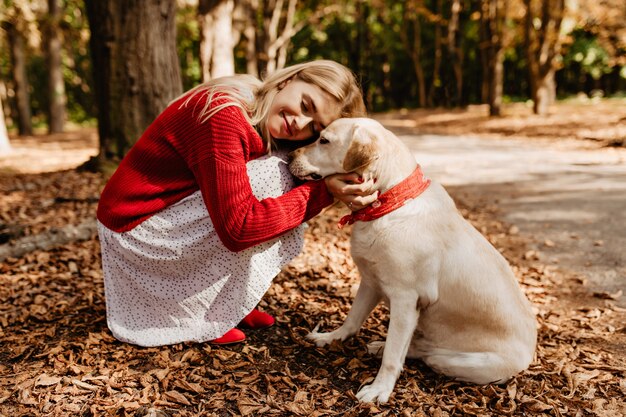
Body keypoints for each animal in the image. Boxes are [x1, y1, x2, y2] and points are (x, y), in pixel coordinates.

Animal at [288, 118, 536, 404]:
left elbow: (393, 356)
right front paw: (332, 338)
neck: (389, 201)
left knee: (426, 354)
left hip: (459, 360)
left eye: (324, 141)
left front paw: (379, 389)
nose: (288, 156)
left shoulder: (405, 299)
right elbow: (352, 318)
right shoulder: (370, 281)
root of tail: (530, 356)